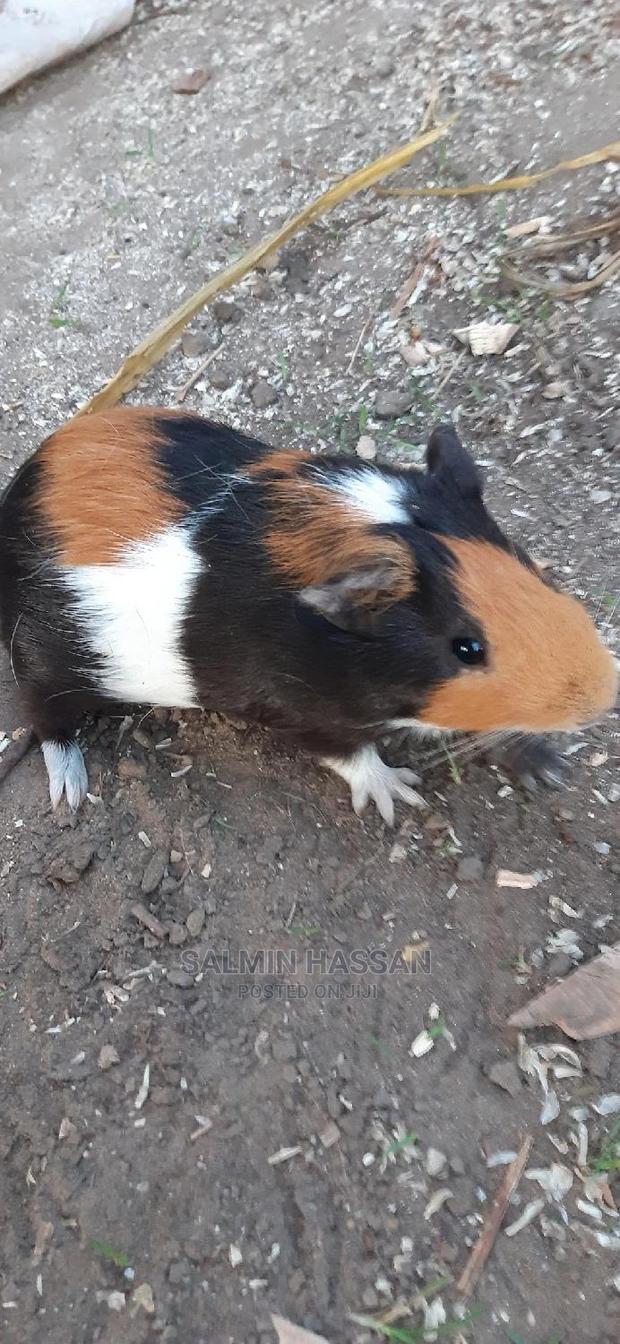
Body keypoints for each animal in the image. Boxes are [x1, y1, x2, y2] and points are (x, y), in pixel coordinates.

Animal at [0, 408, 616, 822]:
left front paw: (550, 768)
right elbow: (351, 755)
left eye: (533, 572)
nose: (601, 697)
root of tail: (17, 500)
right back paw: (72, 792)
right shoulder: (297, 711)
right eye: (467, 647)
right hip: (49, 667)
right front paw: (399, 795)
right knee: (47, 722)